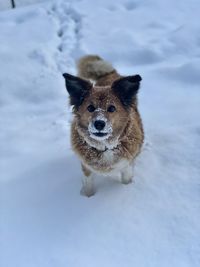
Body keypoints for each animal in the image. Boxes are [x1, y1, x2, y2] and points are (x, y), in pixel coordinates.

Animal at [62, 55, 144, 197]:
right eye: (90, 108)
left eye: (112, 108)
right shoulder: (86, 167)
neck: (106, 148)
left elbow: (126, 180)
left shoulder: (126, 166)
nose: (99, 123)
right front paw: (87, 197)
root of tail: (109, 73)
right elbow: (88, 185)